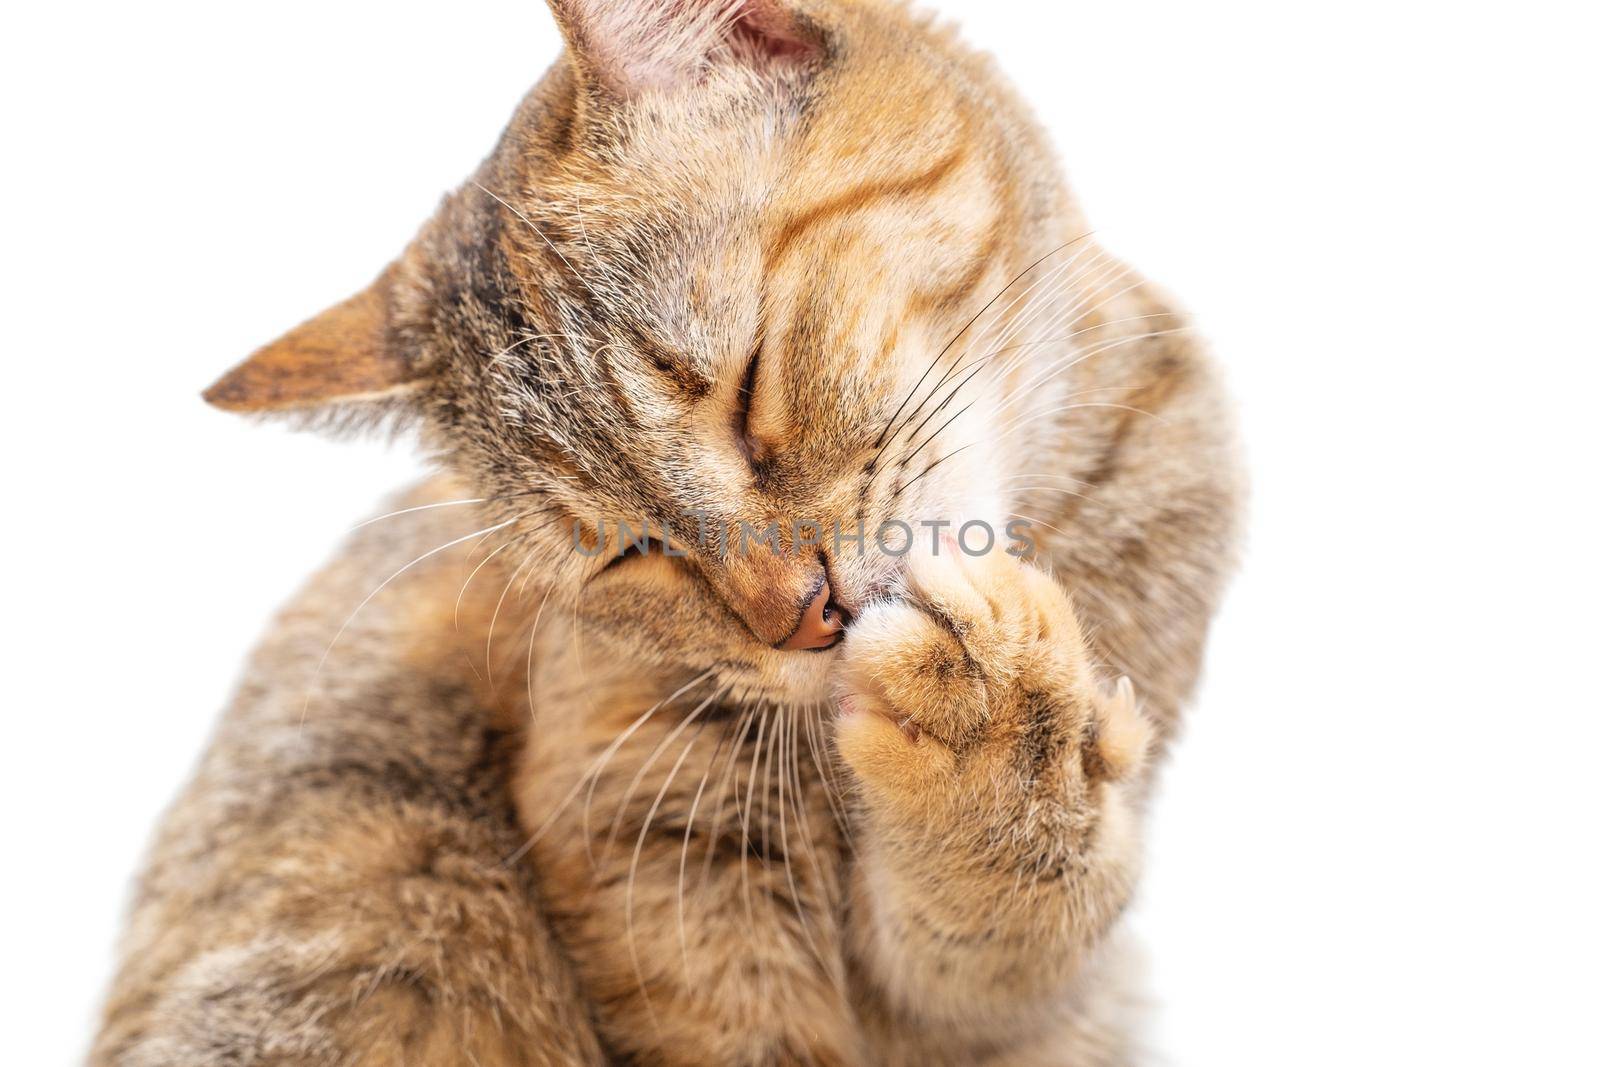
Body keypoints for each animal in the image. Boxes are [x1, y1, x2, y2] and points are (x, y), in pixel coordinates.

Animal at [90, 2, 1235, 1067]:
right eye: (627, 549)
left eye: (748, 387)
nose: (804, 615)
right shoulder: (647, 857)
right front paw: (993, 729)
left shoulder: (988, 999)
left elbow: (1007, 922)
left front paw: (1003, 746)